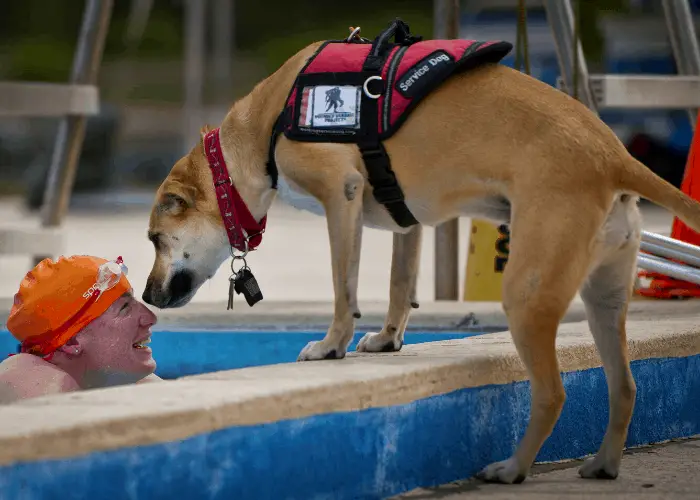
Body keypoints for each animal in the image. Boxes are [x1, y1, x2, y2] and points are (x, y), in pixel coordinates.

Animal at [144, 38, 700, 484]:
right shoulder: (404, 218)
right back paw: (603, 464)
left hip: (527, 293)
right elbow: (398, 283)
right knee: (625, 386)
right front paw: (388, 340)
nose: (146, 296)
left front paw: (330, 346)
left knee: (552, 394)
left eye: (153, 238)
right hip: (605, 295)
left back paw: (513, 468)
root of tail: (614, 155)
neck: (265, 125)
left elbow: (344, 288)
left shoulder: (342, 195)